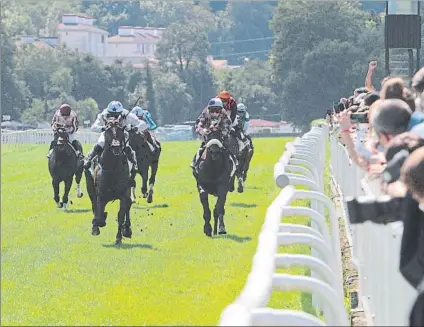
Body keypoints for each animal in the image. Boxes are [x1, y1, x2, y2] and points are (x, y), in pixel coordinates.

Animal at [84, 116, 132, 245]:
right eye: (107, 130)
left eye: (120, 129)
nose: (116, 146)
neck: (113, 168)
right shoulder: (101, 195)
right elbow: (99, 215)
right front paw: (98, 223)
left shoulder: (124, 195)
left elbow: (121, 215)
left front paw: (119, 237)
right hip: (90, 188)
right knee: (94, 206)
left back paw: (127, 229)